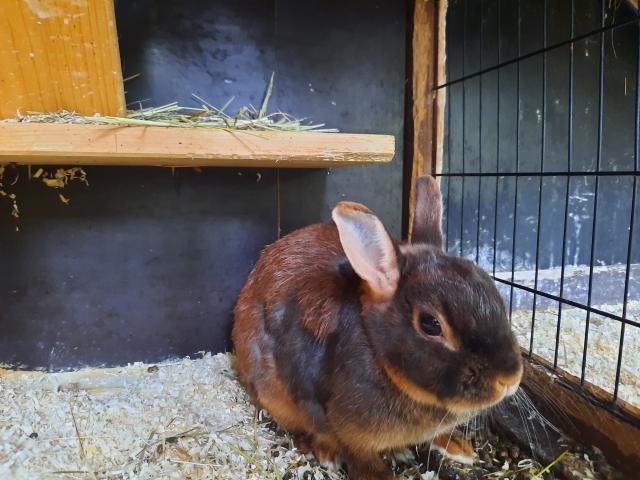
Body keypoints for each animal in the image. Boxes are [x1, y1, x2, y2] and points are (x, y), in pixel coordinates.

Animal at [232, 176, 523, 480]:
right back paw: (325, 453)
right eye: (431, 324)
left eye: (493, 291)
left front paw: (454, 446)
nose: (510, 379)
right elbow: (359, 455)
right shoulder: (339, 425)